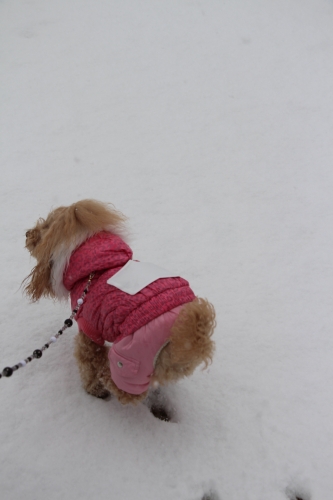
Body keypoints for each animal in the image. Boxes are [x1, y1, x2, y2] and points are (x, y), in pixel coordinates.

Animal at [24, 199, 215, 406]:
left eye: (44, 227)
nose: (26, 234)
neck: (94, 268)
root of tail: (185, 339)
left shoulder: (88, 328)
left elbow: (87, 359)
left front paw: (92, 388)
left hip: (130, 359)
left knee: (124, 389)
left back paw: (104, 373)